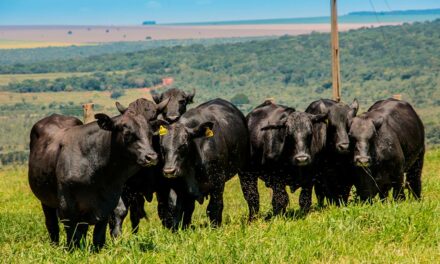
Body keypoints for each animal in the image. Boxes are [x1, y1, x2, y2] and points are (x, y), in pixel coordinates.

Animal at [27, 99, 168, 250]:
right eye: (127, 133)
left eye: (150, 133)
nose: (151, 157)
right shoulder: (67, 206)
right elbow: (72, 235)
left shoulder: (107, 204)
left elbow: (99, 236)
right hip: (46, 201)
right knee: (52, 225)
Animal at [109, 89, 194, 237]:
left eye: (151, 119)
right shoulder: (124, 187)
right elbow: (120, 210)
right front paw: (117, 236)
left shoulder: (166, 184)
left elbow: (169, 207)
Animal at [158, 98, 258, 228]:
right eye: (162, 147)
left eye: (183, 145)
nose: (169, 170)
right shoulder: (177, 187)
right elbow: (176, 209)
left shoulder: (217, 182)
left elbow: (214, 208)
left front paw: (215, 227)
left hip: (246, 169)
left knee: (251, 194)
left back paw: (252, 221)